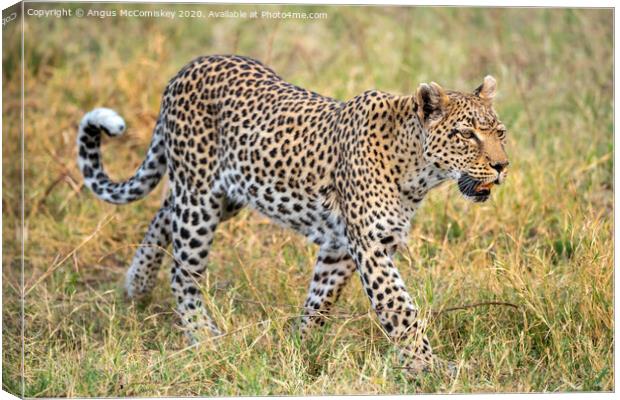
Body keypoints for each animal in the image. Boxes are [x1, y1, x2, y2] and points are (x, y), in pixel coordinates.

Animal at [76, 54, 508, 376]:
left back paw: (136, 286)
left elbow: (320, 300)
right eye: (467, 135)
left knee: (162, 215)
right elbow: (400, 308)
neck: (418, 169)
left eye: (499, 132)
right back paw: (203, 335)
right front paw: (428, 367)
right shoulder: (370, 245)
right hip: (200, 198)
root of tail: (188, 67)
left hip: (224, 195)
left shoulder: (341, 246)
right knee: (183, 271)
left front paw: (302, 347)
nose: (502, 166)